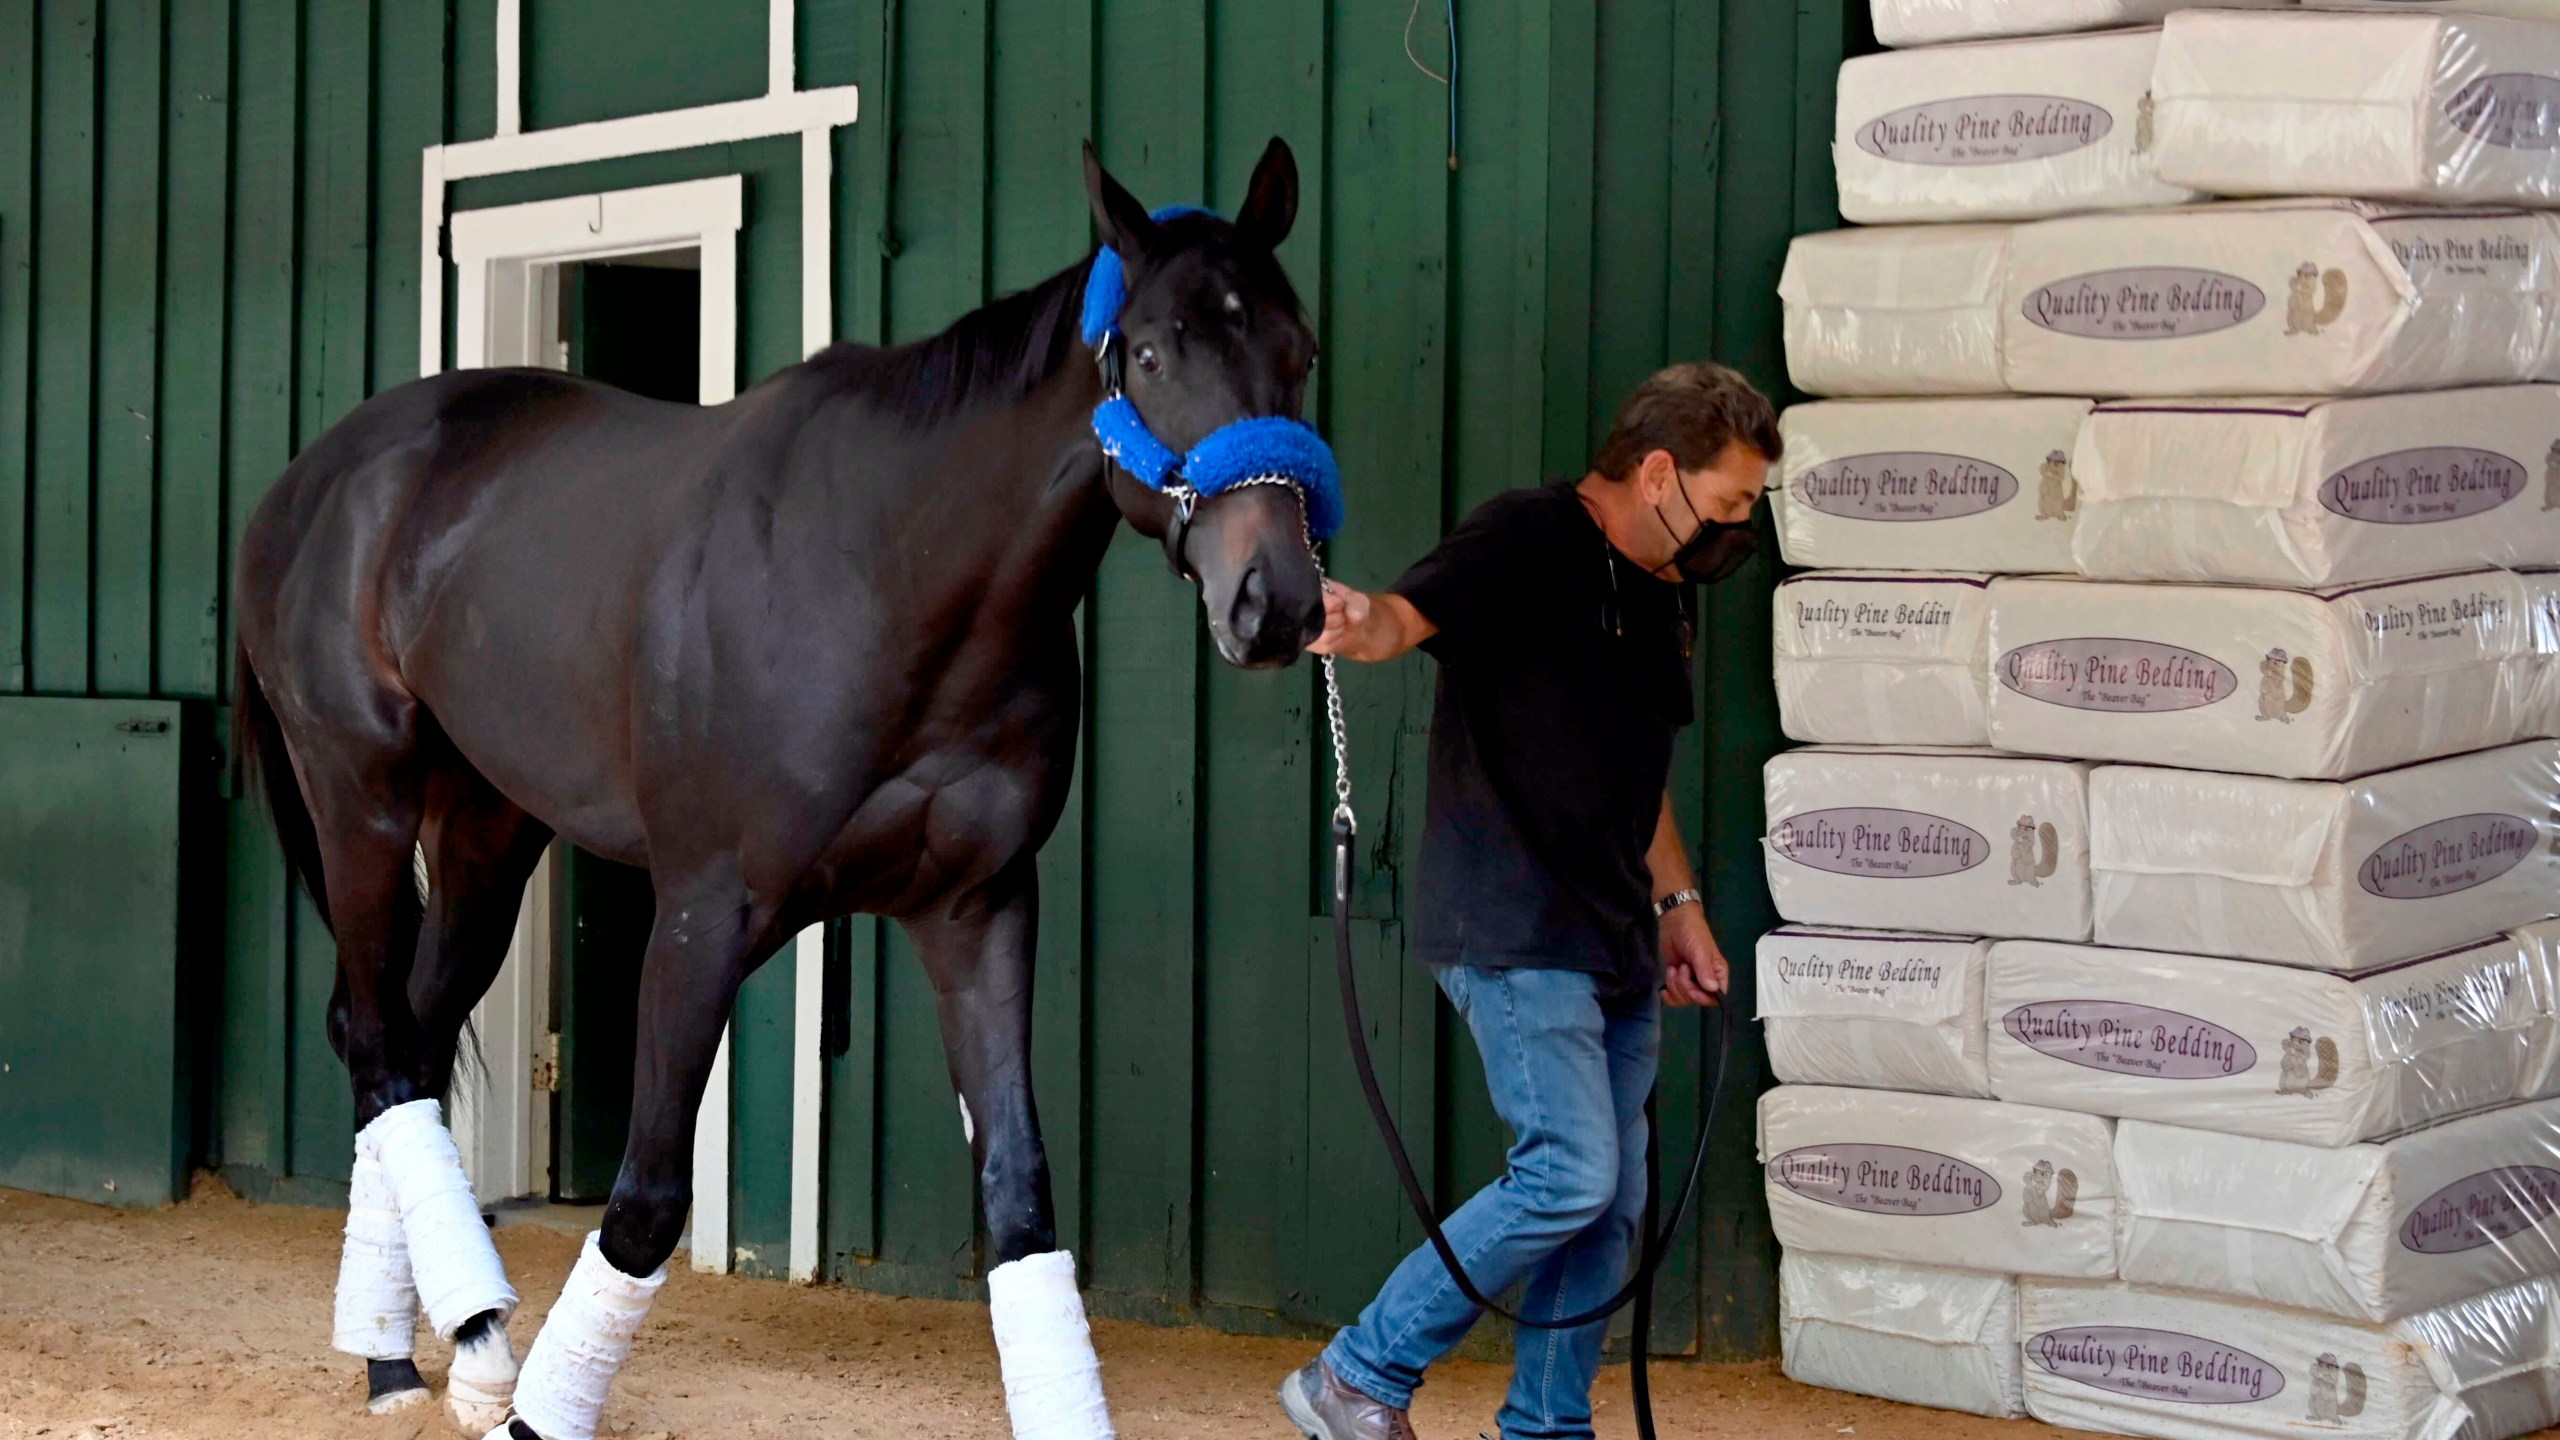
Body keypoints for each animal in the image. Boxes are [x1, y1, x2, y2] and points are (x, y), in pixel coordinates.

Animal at [235, 137, 1320, 1434]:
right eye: (1151, 352)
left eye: (1297, 350)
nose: (1277, 603)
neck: (886, 573)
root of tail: (315, 478)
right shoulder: (703, 917)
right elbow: (646, 1201)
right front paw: (541, 1412)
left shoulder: (978, 908)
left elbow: (1019, 1197)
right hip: (361, 797)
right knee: (380, 1048)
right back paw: (428, 1356)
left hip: (488, 828)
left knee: (410, 1028)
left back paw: (434, 1351)